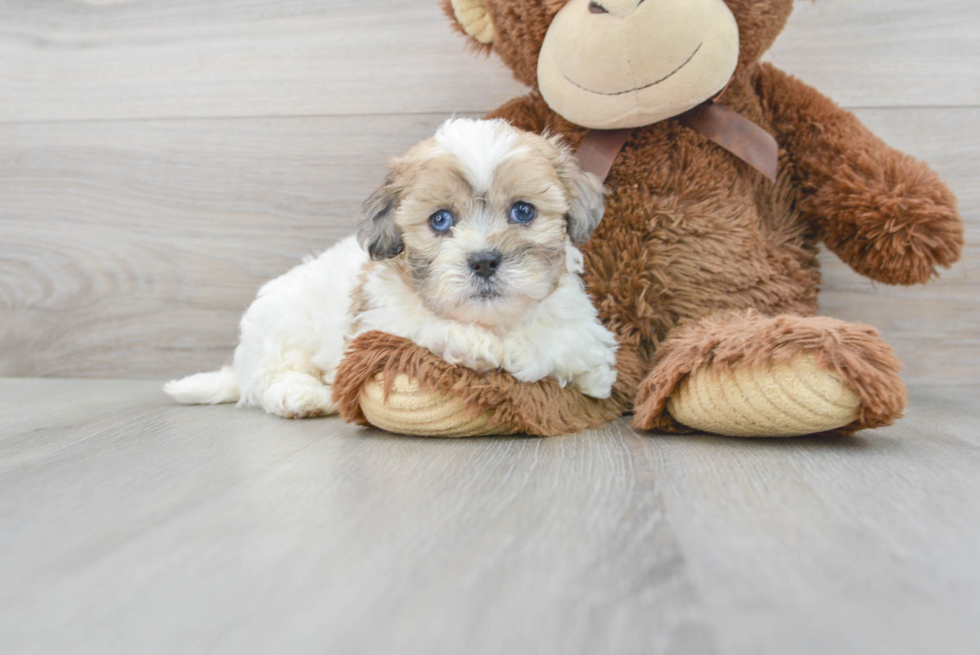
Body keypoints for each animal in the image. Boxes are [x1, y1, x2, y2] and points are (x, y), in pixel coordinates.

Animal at [164, 120, 616, 420]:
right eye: (440, 220)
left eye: (523, 211)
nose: (484, 260)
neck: (494, 319)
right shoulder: (381, 322)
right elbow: (430, 327)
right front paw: (483, 346)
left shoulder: (581, 325)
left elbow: (572, 345)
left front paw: (540, 356)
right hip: (283, 320)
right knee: (268, 376)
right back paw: (301, 396)